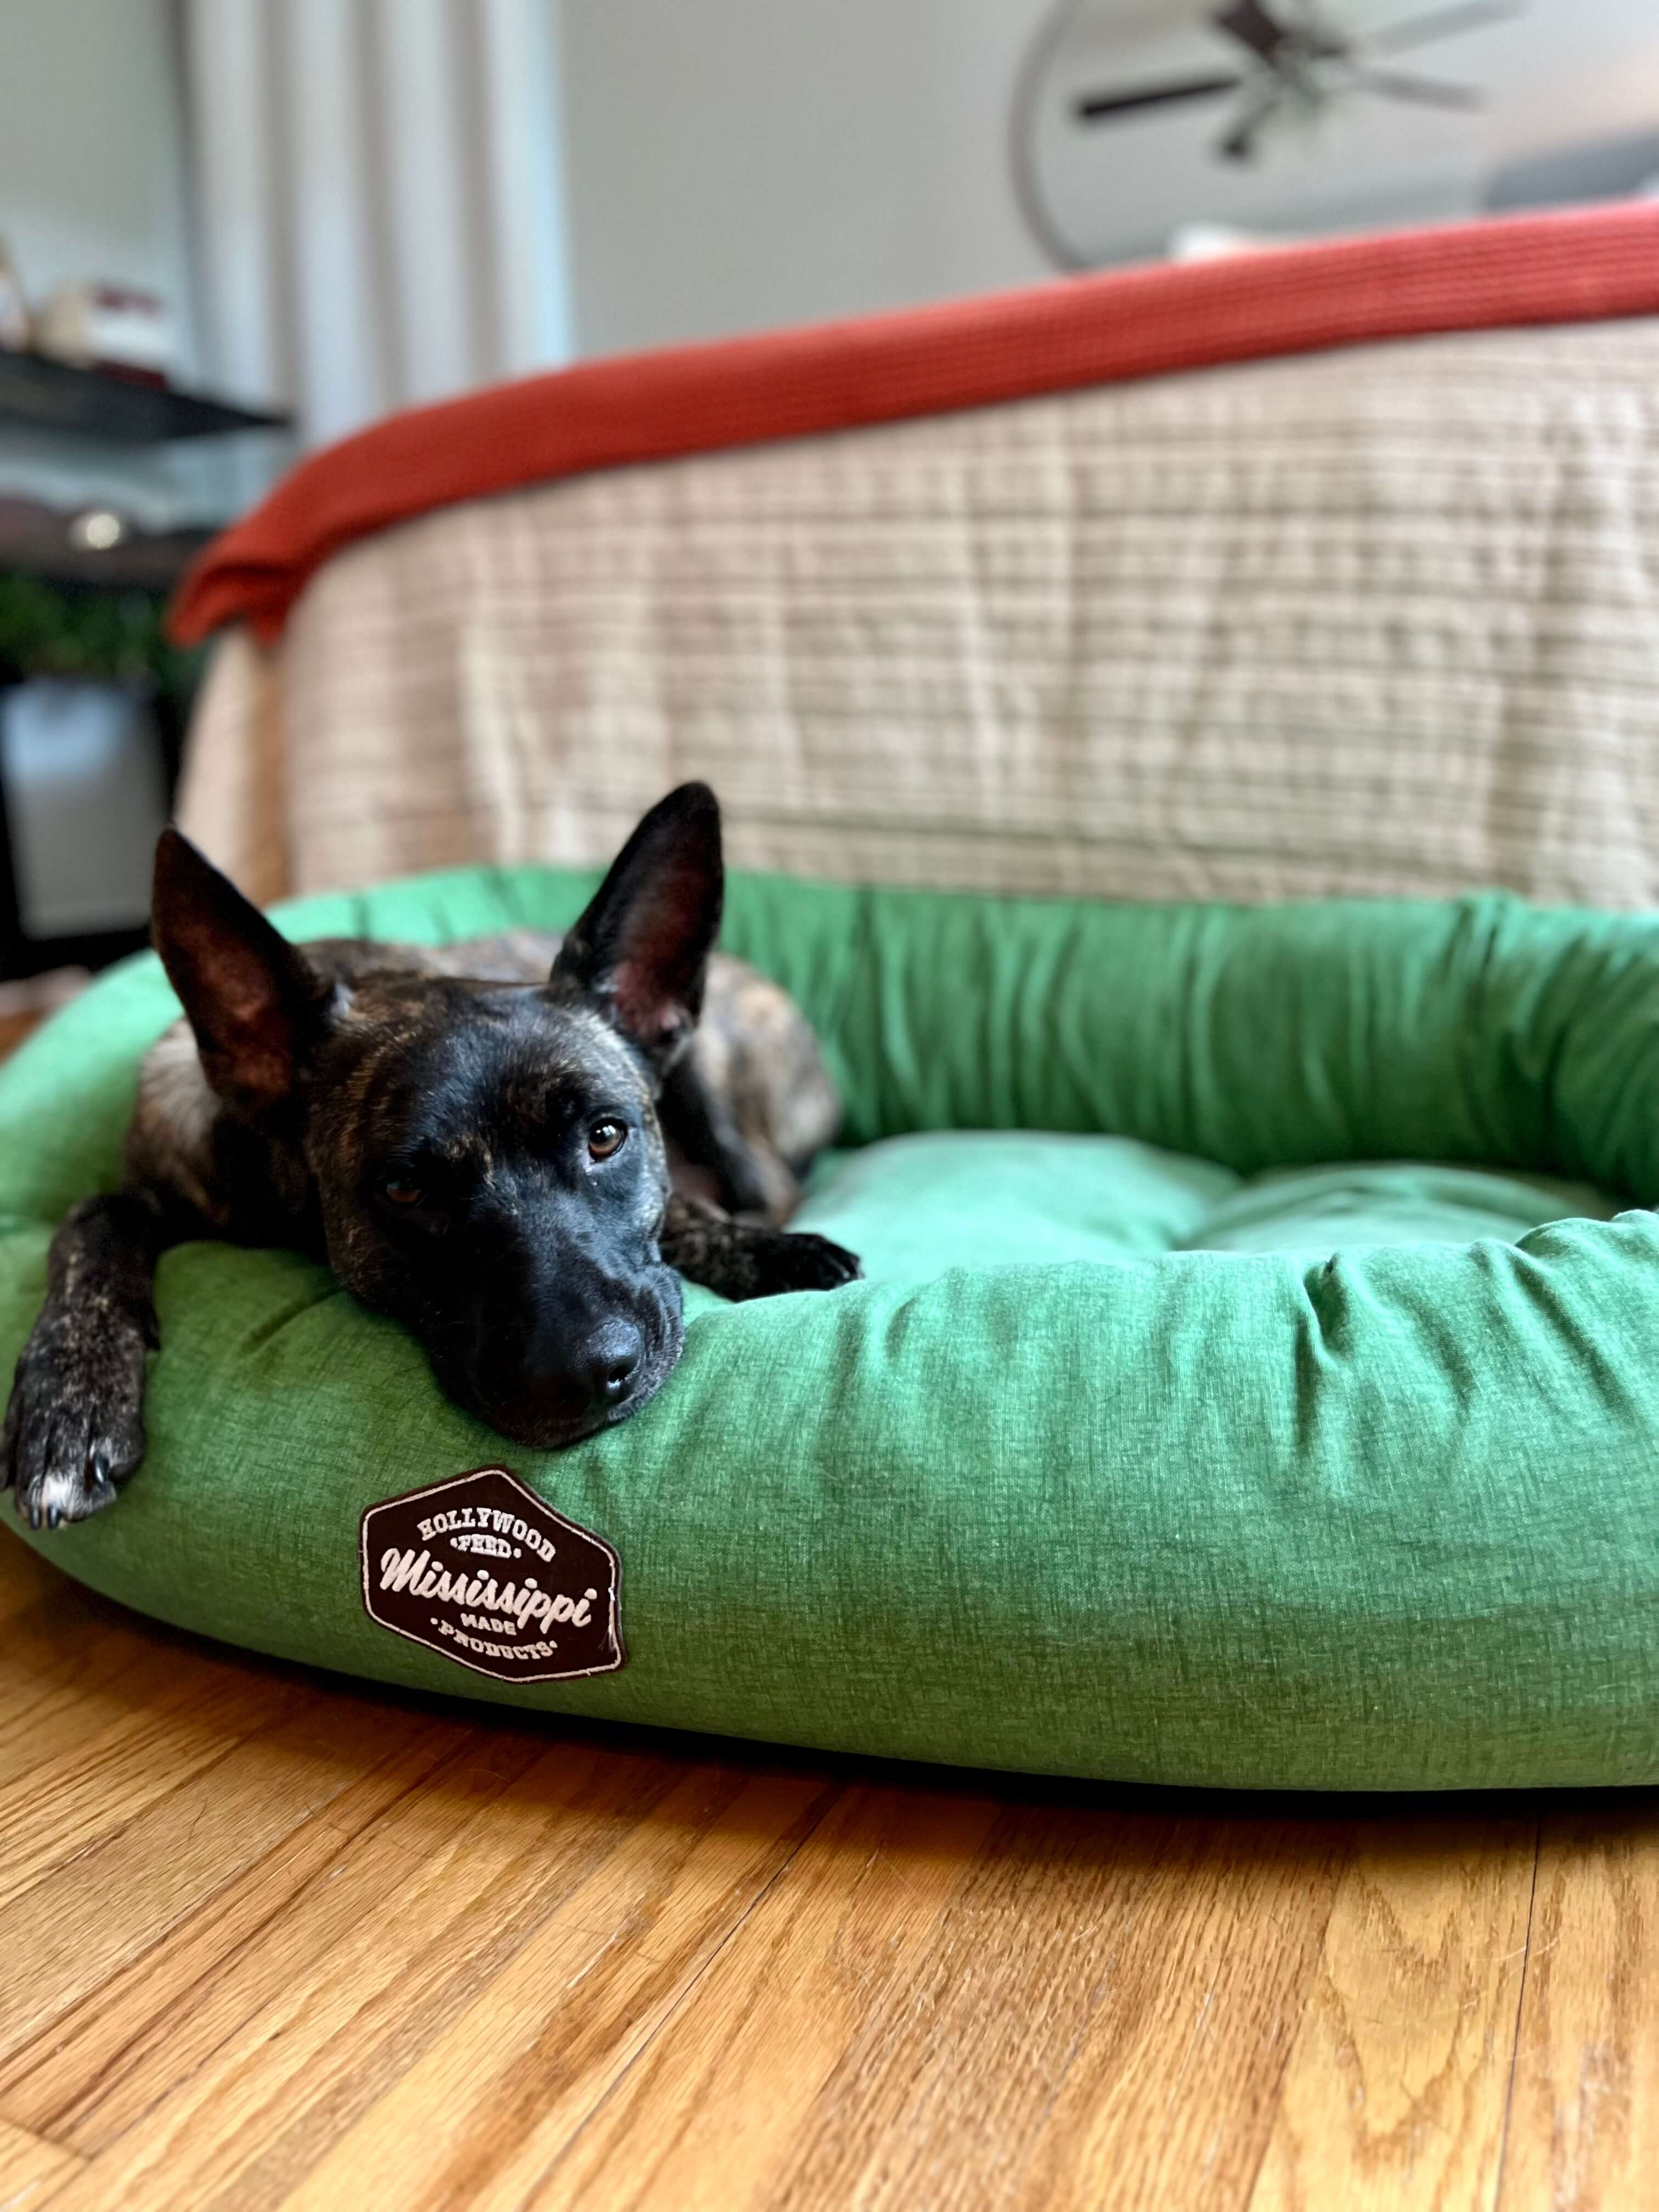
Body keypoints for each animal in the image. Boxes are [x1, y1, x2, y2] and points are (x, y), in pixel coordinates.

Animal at [9, 778, 871, 1522]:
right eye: (404, 1190)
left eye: (605, 1136)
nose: (585, 1375)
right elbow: (93, 1217)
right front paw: (69, 1403)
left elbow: (688, 1209)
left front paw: (760, 1252)